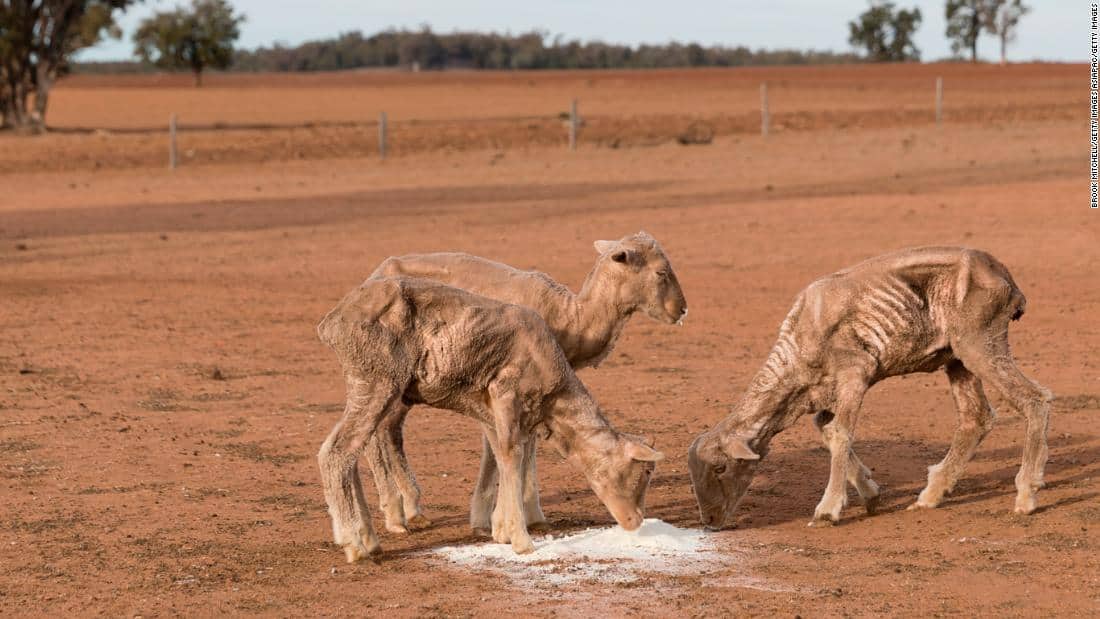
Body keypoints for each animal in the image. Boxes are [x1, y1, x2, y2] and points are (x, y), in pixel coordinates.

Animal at [319, 277, 660, 562]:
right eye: (644, 471)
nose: (635, 521)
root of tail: (331, 322)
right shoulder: (505, 393)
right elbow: (512, 455)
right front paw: (522, 541)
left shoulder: (492, 410)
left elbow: (500, 455)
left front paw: (501, 531)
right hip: (376, 380)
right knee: (336, 452)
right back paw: (354, 545)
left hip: (368, 385)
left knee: (351, 451)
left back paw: (369, 539)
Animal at [690, 247, 1051, 527]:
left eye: (721, 467)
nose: (710, 522)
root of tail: (1007, 279)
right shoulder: (823, 397)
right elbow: (827, 430)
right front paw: (870, 493)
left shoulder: (855, 374)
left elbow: (840, 434)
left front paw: (828, 510)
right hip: (956, 357)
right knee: (976, 418)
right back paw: (930, 496)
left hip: (980, 342)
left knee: (1036, 398)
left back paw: (1026, 494)